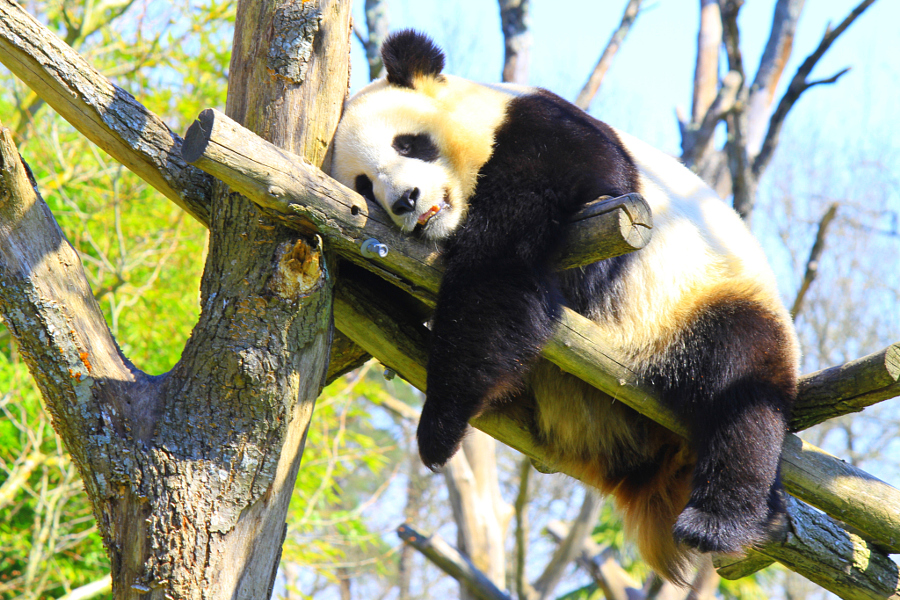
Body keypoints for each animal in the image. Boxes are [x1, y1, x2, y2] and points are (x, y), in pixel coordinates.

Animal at [332, 30, 800, 584]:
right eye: (363, 185)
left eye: (408, 143)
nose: (404, 199)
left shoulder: (549, 138)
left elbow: (506, 266)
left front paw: (440, 428)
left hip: (702, 297)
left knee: (743, 382)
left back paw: (719, 520)